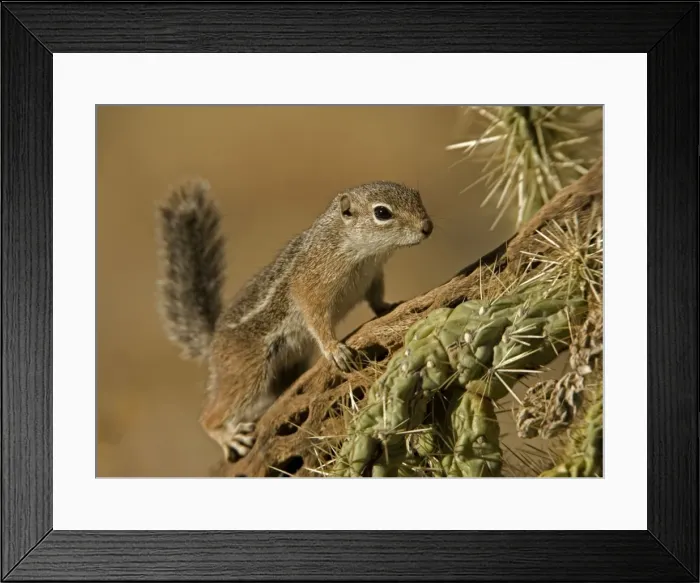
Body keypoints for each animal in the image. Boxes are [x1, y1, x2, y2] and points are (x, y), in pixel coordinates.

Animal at [155, 179, 433, 463]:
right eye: (382, 213)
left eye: (417, 195)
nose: (427, 227)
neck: (355, 249)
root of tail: (213, 343)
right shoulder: (310, 289)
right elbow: (317, 320)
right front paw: (334, 349)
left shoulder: (373, 276)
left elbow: (376, 298)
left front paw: (390, 306)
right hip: (246, 371)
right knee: (210, 416)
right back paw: (227, 435)